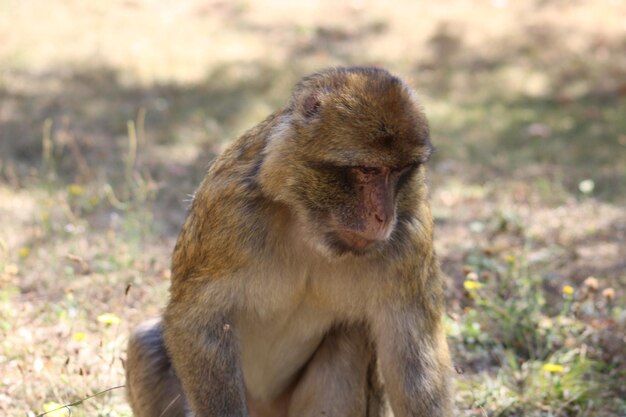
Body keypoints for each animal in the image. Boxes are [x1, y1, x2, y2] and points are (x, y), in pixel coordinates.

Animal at [124, 66, 450, 414]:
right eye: (368, 170)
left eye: (401, 170)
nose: (384, 217)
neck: (309, 229)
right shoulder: (227, 212)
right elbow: (199, 321)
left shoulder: (410, 235)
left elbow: (412, 359)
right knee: (147, 347)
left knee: (349, 335)